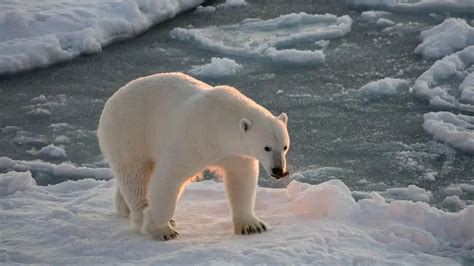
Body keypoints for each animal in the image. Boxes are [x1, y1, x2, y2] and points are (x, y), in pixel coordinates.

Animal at [97, 72, 288, 241]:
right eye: (267, 147)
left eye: (285, 147)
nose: (279, 170)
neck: (220, 122)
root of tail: (113, 99)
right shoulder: (194, 137)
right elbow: (169, 176)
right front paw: (161, 230)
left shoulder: (235, 152)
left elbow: (241, 178)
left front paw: (252, 225)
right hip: (129, 131)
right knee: (134, 175)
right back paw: (143, 215)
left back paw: (125, 208)